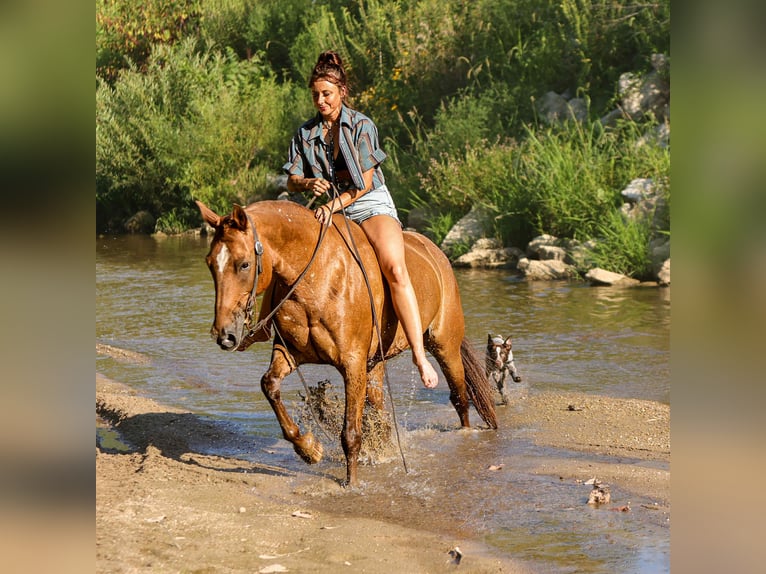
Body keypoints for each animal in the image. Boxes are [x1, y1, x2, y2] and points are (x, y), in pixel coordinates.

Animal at [196, 199, 497, 486]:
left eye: (244, 264)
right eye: (209, 262)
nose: (224, 335)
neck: (317, 277)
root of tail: (436, 253)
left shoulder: (352, 363)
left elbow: (350, 433)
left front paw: (351, 483)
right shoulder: (290, 353)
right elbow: (269, 385)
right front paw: (309, 449)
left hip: (444, 345)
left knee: (460, 398)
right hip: (375, 364)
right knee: (381, 411)